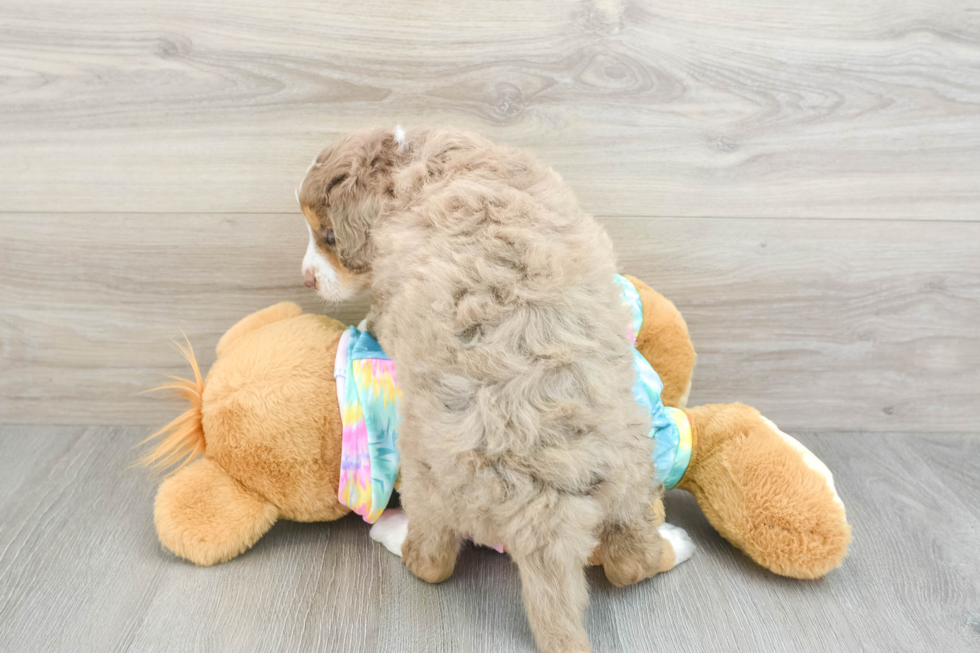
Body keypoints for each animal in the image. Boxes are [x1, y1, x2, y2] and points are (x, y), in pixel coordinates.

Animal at [298, 127, 668, 652]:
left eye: (328, 236)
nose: (306, 279)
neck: (418, 160)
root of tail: (547, 513)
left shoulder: (392, 285)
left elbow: (382, 315)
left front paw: (366, 322)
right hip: (631, 473)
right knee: (633, 562)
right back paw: (661, 548)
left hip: (427, 475)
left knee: (432, 560)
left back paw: (396, 538)